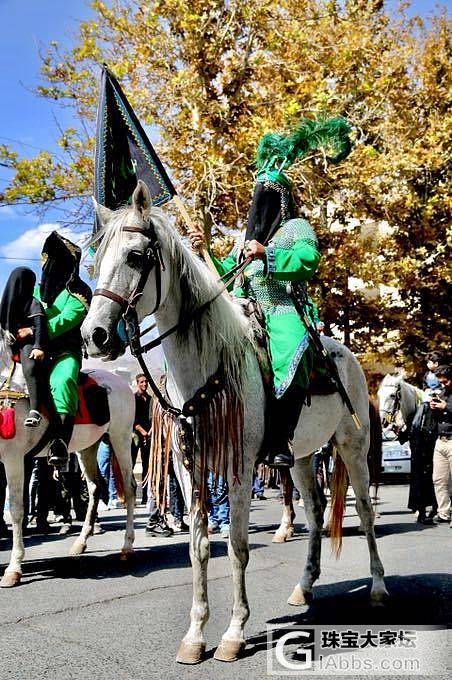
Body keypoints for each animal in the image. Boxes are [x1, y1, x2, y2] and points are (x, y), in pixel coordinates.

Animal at [0, 326, 136, 588]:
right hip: (88, 448)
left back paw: (127, 547)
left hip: (121, 438)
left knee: (130, 487)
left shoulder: (14, 459)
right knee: (94, 487)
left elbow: (17, 510)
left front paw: (13, 568)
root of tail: (121, 383)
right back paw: (80, 542)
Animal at [83, 179, 390, 664]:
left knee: (363, 511)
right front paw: (195, 635)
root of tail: (346, 355)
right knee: (315, 510)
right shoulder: (190, 469)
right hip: (300, 458)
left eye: (135, 256)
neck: (207, 366)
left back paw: (377, 588)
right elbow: (199, 547)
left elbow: (238, 549)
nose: (93, 336)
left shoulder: (240, 470)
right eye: (95, 263)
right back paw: (304, 588)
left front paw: (233, 632)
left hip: (352, 447)